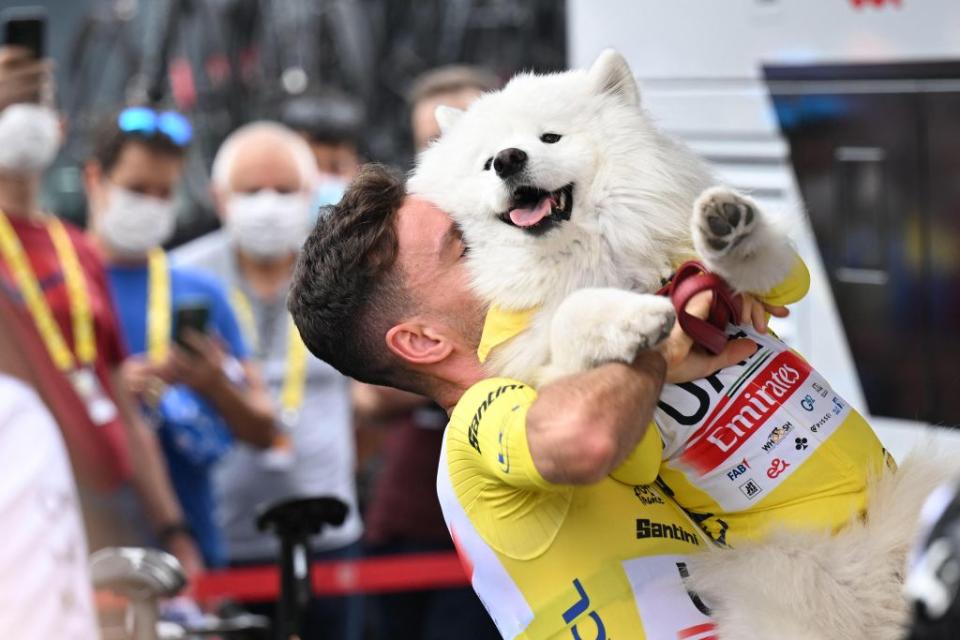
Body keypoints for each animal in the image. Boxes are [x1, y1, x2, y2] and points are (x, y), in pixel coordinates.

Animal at [406, 51, 952, 640]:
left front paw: (728, 229)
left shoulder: (760, 285)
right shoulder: (590, 415)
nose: (509, 160)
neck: (591, 254)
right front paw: (634, 319)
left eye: (550, 137)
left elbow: (769, 269)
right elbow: (575, 317)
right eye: (488, 163)